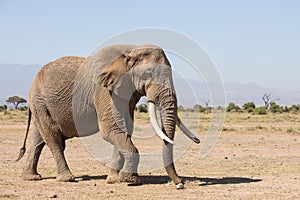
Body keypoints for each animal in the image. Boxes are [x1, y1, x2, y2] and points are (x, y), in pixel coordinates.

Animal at [15, 44, 199, 189]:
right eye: (148, 73)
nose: (180, 184)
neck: (131, 50)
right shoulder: (103, 90)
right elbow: (111, 129)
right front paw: (130, 179)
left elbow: (124, 129)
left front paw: (113, 180)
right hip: (40, 102)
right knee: (54, 139)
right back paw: (67, 179)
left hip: (41, 105)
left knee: (38, 139)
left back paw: (31, 177)